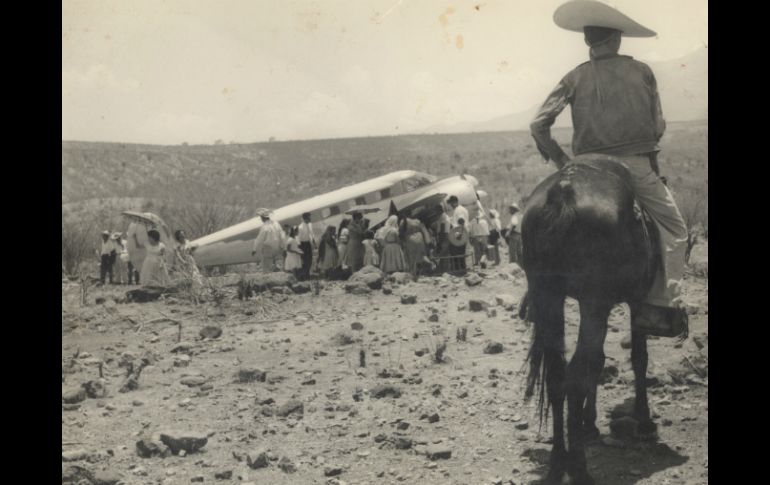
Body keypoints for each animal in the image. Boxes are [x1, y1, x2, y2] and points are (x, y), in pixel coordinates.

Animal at [520, 157, 668, 482]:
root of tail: (564, 192)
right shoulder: (636, 300)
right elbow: (639, 357)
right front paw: (643, 420)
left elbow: (598, 362)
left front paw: (589, 424)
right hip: (593, 302)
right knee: (575, 376)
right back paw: (578, 469)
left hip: (549, 294)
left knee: (557, 374)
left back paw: (557, 463)